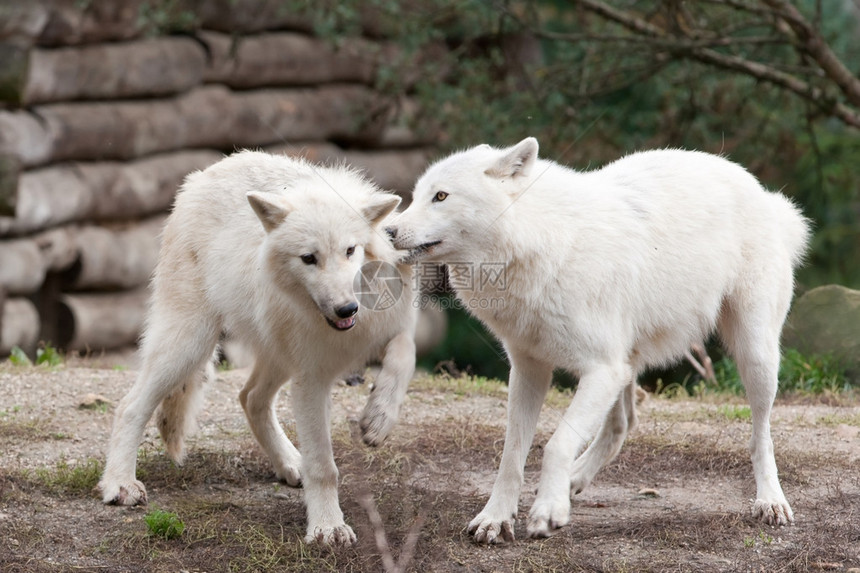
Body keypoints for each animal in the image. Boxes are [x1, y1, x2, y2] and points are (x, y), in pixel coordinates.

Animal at [99, 150, 418, 544]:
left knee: (250, 397)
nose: (347, 309)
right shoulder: (311, 379)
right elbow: (323, 466)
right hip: (190, 344)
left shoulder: (390, 327)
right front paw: (328, 527)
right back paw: (119, 484)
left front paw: (379, 418)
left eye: (350, 251)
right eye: (309, 258)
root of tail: (201, 176)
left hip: (274, 354)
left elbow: (405, 355)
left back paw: (291, 463)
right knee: (130, 406)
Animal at [388, 137, 808, 540]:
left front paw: (547, 512)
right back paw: (574, 480)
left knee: (760, 436)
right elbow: (512, 454)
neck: (542, 244)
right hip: (625, 365)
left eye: (441, 196)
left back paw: (770, 501)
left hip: (754, 357)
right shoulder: (530, 370)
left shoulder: (600, 369)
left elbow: (555, 444)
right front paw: (495, 518)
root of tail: (764, 194)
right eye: (417, 194)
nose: (389, 231)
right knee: (623, 423)